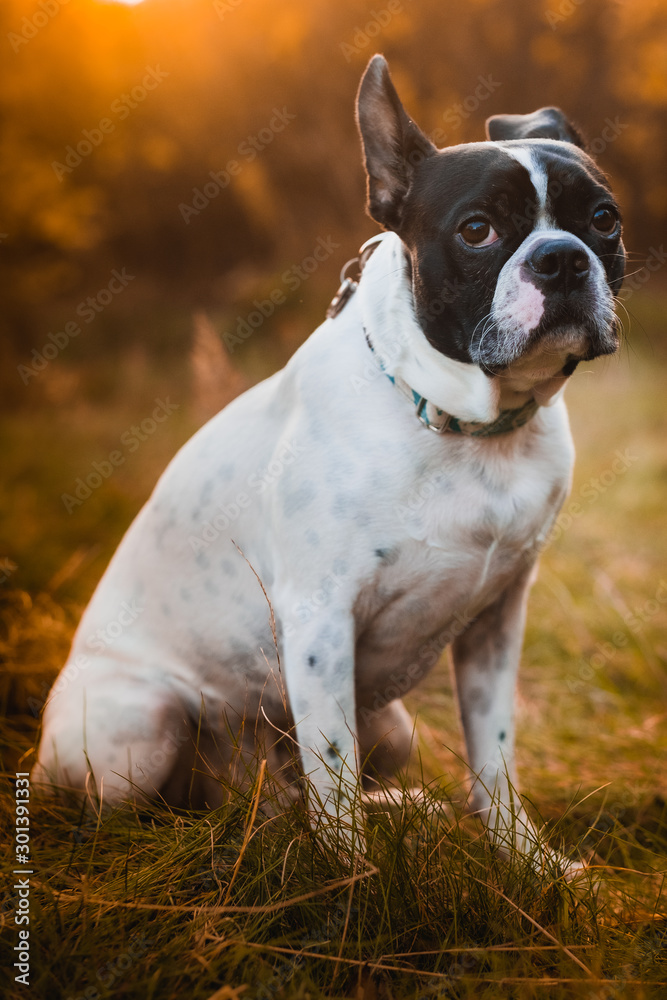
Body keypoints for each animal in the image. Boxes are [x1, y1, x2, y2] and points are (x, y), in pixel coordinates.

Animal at [32, 54, 628, 864]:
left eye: (603, 220)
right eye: (477, 231)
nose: (562, 258)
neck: (470, 427)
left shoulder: (495, 624)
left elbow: (494, 753)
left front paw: (529, 863)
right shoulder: (321, 626)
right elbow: (334, 780)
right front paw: (355, 885)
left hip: (391, 729)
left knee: (291, 795)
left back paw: (384, 811)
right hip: (141, 723)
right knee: (151, 810)